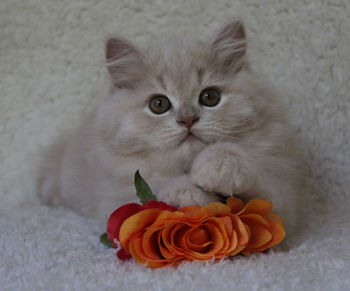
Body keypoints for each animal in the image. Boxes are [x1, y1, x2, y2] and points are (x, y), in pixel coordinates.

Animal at [37, 19, 304, 233]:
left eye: (210, 97)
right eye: (159, 104)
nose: (188, 119)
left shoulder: (279, 198)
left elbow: (254, 180)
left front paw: (220, 168)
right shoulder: (116, 197)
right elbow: (159, 186)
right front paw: (188, 194)